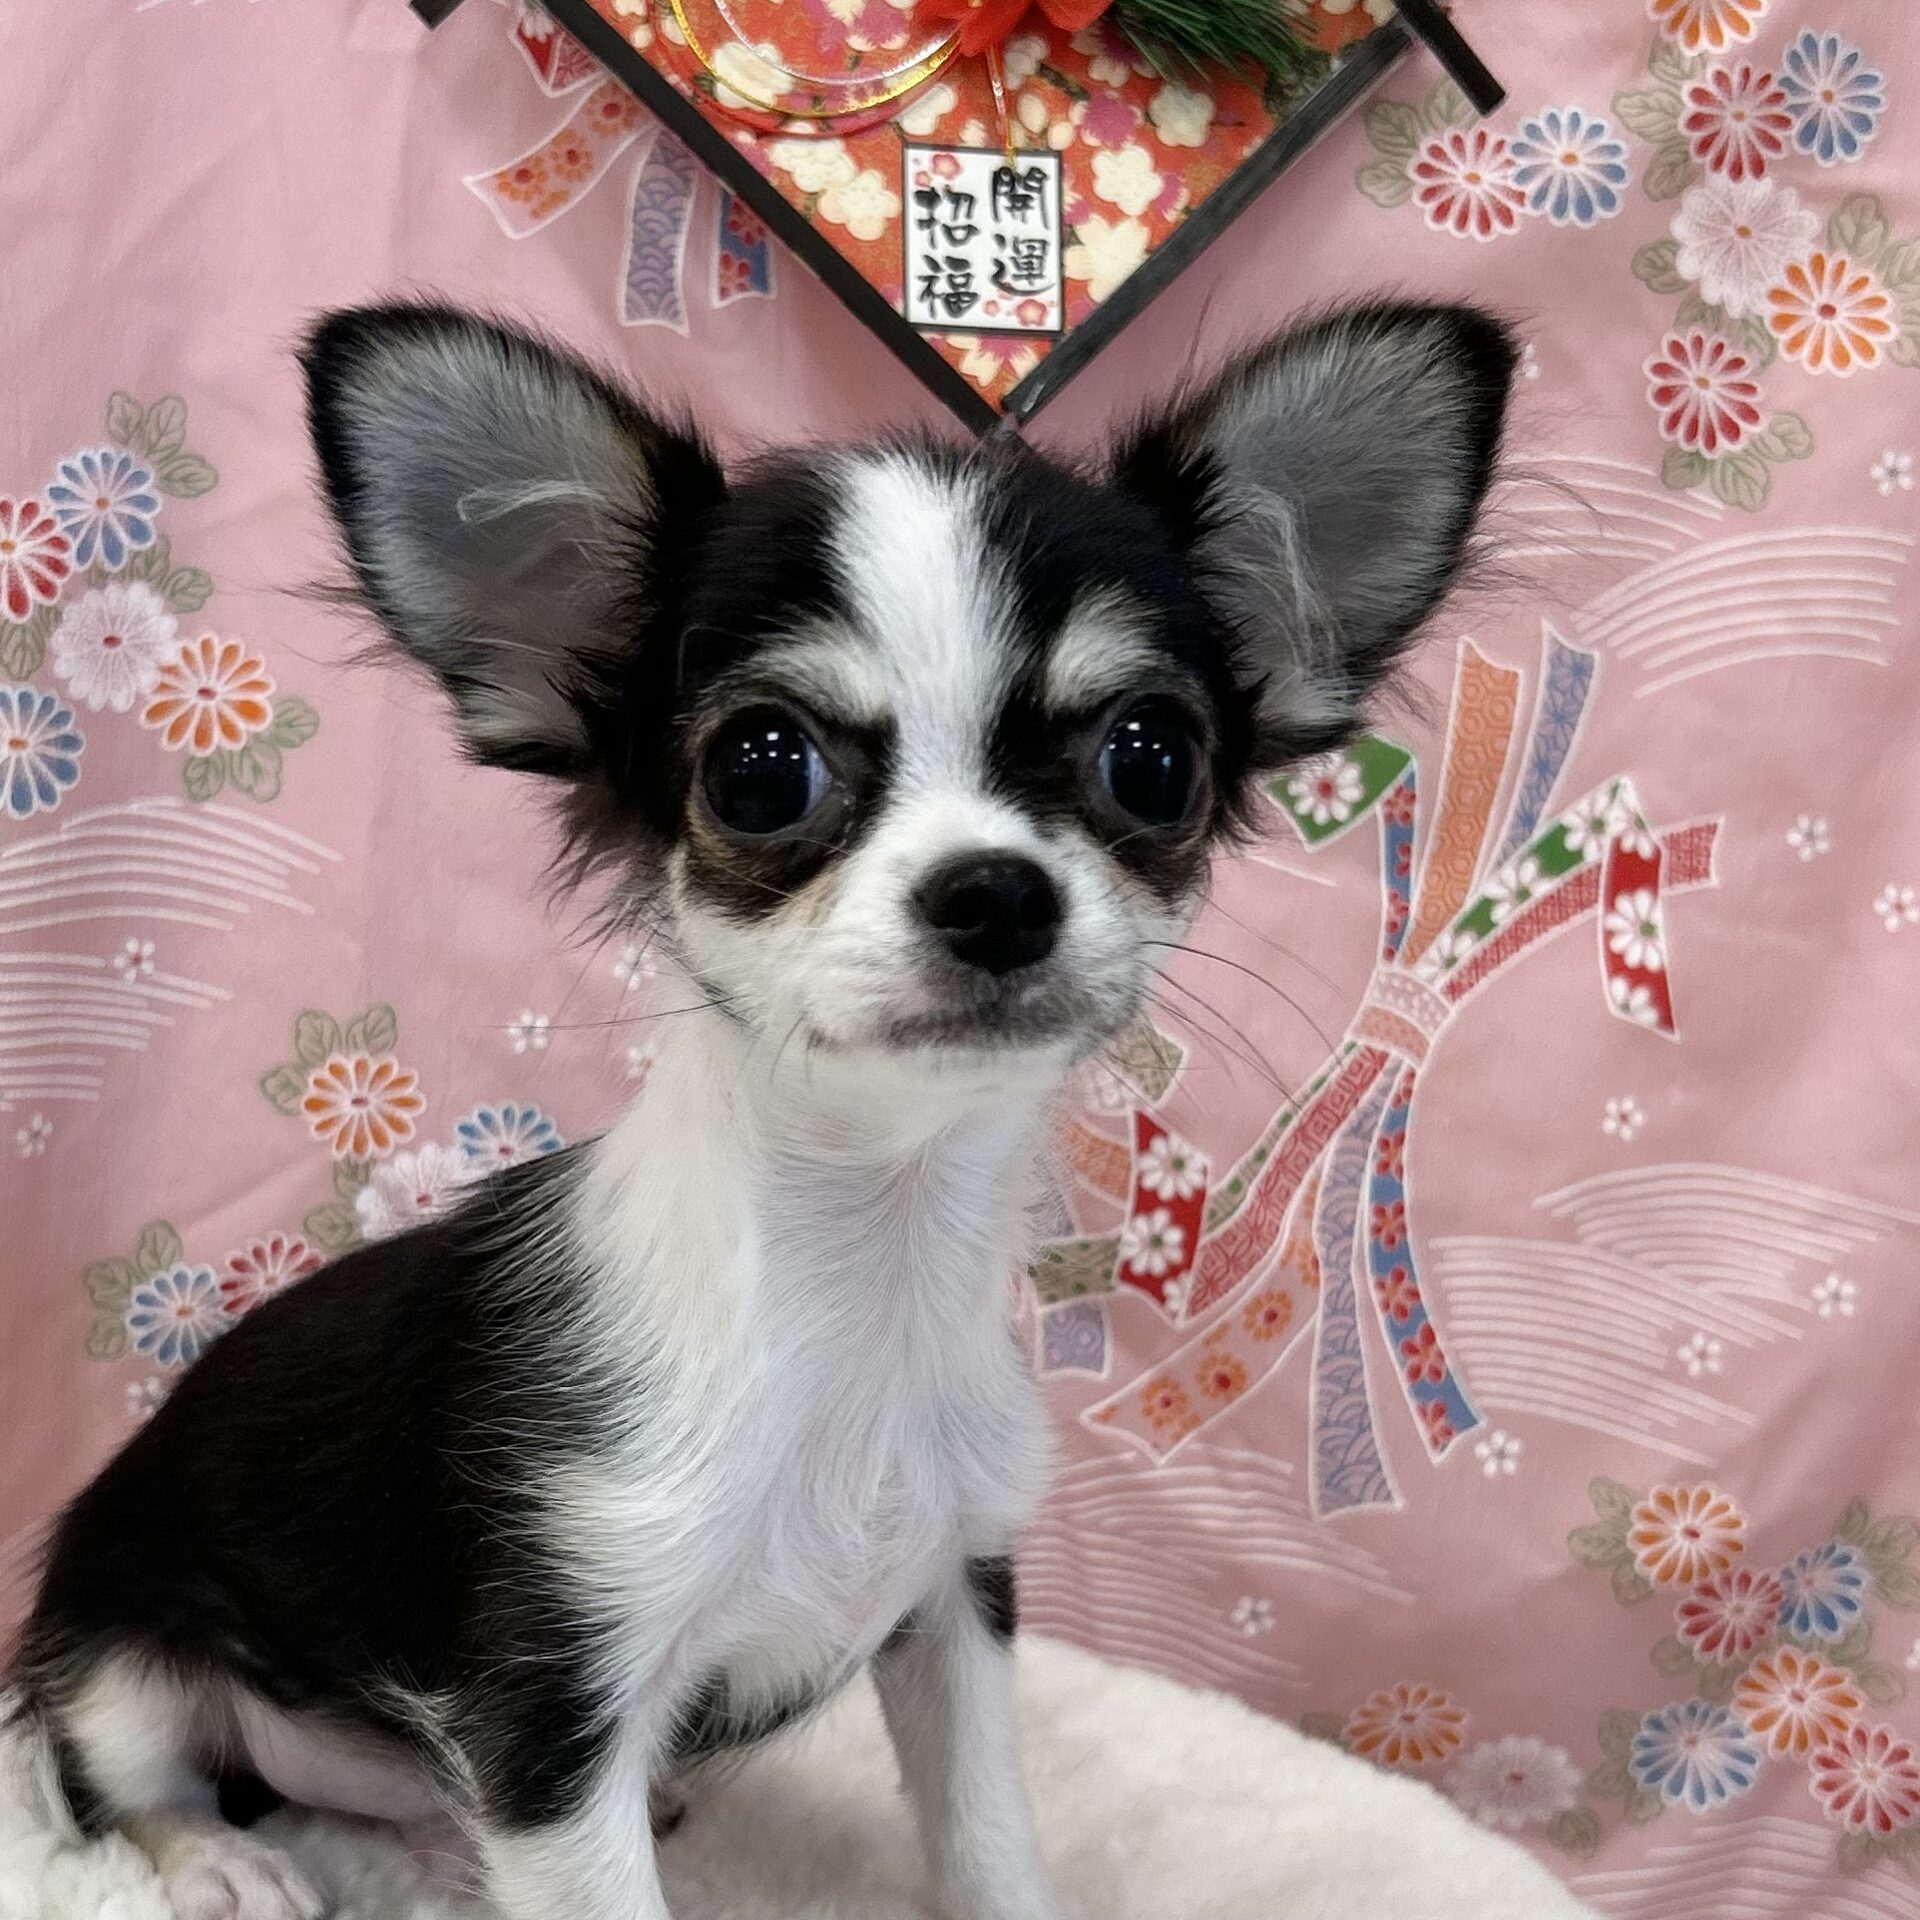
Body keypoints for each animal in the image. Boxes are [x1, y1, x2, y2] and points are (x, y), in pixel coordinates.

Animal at [11, 297, 1514, 1920]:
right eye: (760, 769)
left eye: (1154, 758)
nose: (996, 890)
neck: (869, 1255)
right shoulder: (556, 1717)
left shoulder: (954, 1604)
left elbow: (990, 1839)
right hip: (119, 1661)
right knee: (119, 1783)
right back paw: (227, 1864)